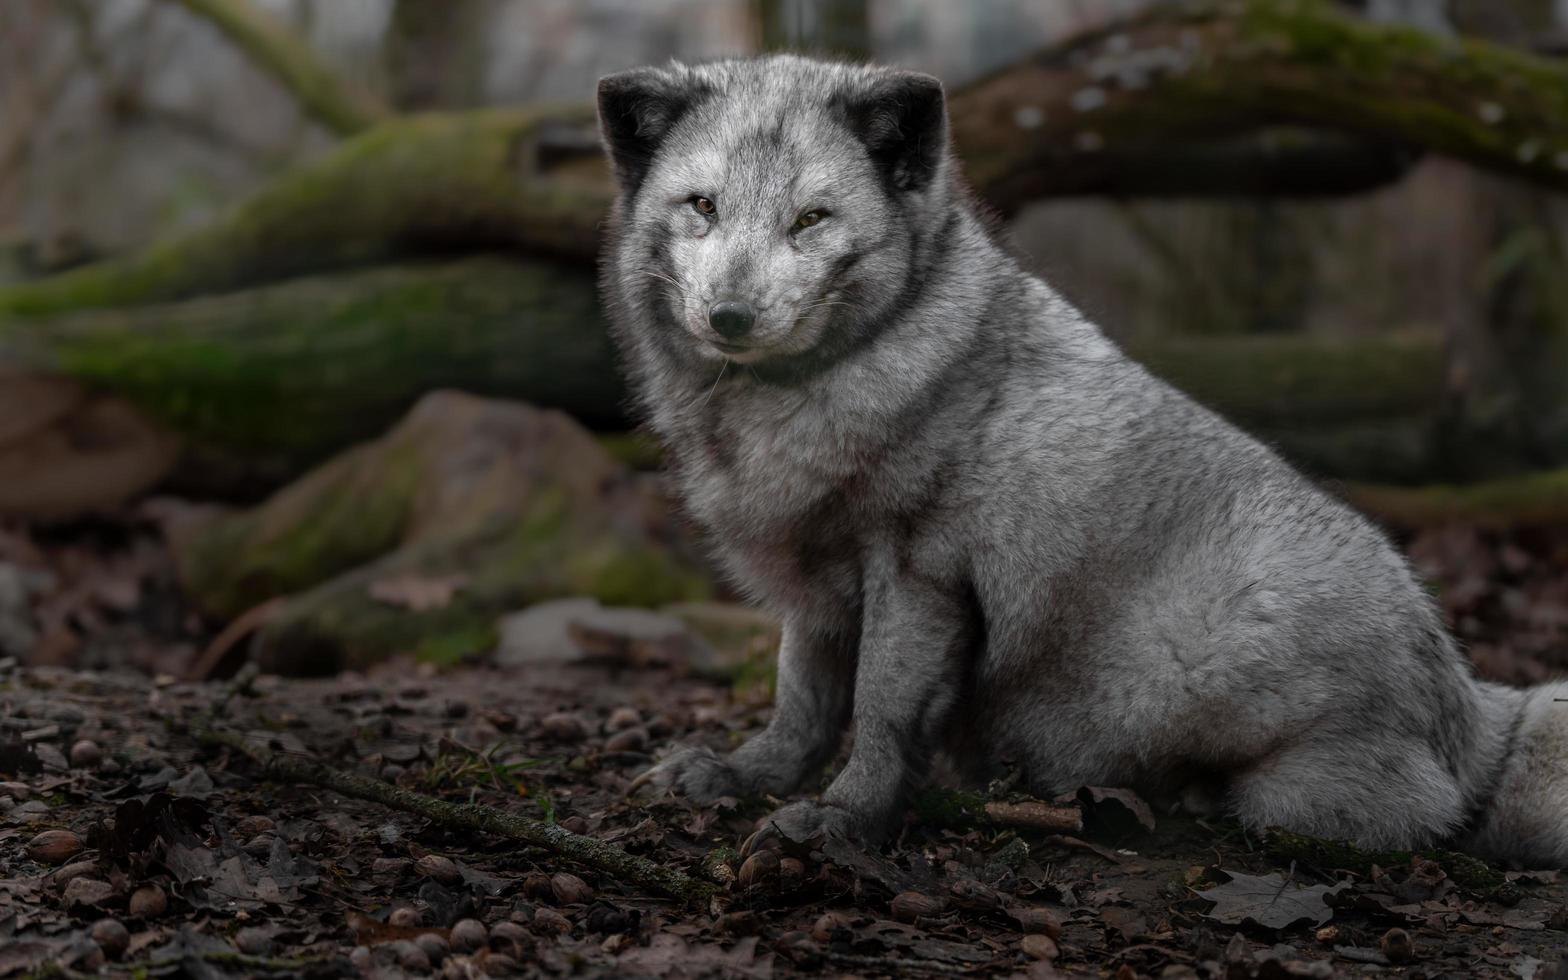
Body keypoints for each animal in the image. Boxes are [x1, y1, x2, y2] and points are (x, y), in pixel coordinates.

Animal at [592, 55, 1561, 865]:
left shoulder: (918, 572)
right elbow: (801, 701)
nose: (730, 316)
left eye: (811, 219)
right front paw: (743, 775)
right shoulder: (820, 579)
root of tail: (1472, 711)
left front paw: (844, 821)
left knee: (1399, 822)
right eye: (703, 206)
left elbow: (880, 710)